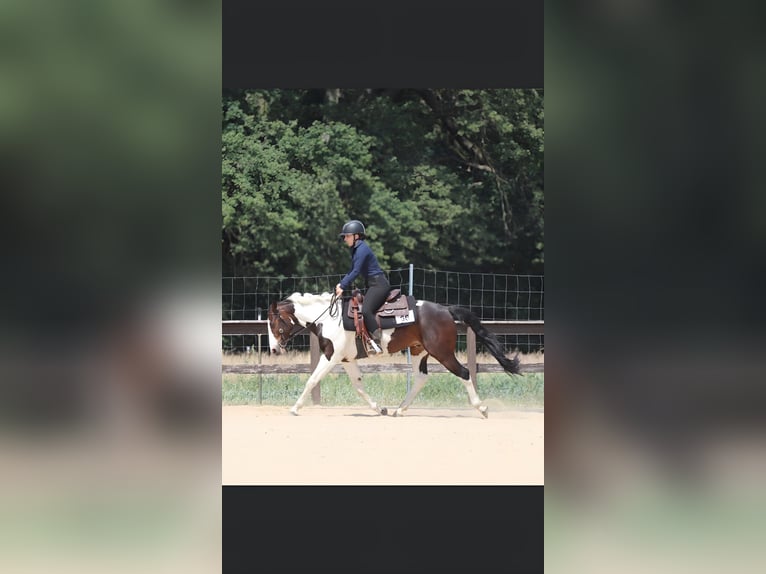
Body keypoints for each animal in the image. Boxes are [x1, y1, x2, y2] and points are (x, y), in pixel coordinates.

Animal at [268, 292, 520, 418]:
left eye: (273, 322)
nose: (273, 349)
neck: (328, 318)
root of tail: (445, 309)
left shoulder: (331, 356)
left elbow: (312, 380)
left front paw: (295, 408)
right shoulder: (346, 359)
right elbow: (358, 386)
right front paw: (379, 408)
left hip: (442, 352)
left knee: (465, 373)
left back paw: (482, 408)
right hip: (419, 351)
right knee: (421, 378)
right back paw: (399, 409)